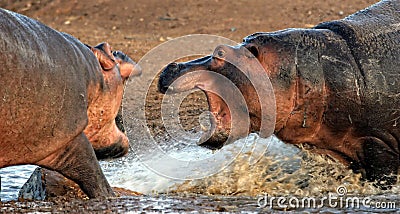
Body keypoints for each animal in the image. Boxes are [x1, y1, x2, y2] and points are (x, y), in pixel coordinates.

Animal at [0, 8, 141, 199]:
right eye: (110, 50)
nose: (119, 51)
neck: (93, 76)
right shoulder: (68, 136)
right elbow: (94, 175)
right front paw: (110, 196)